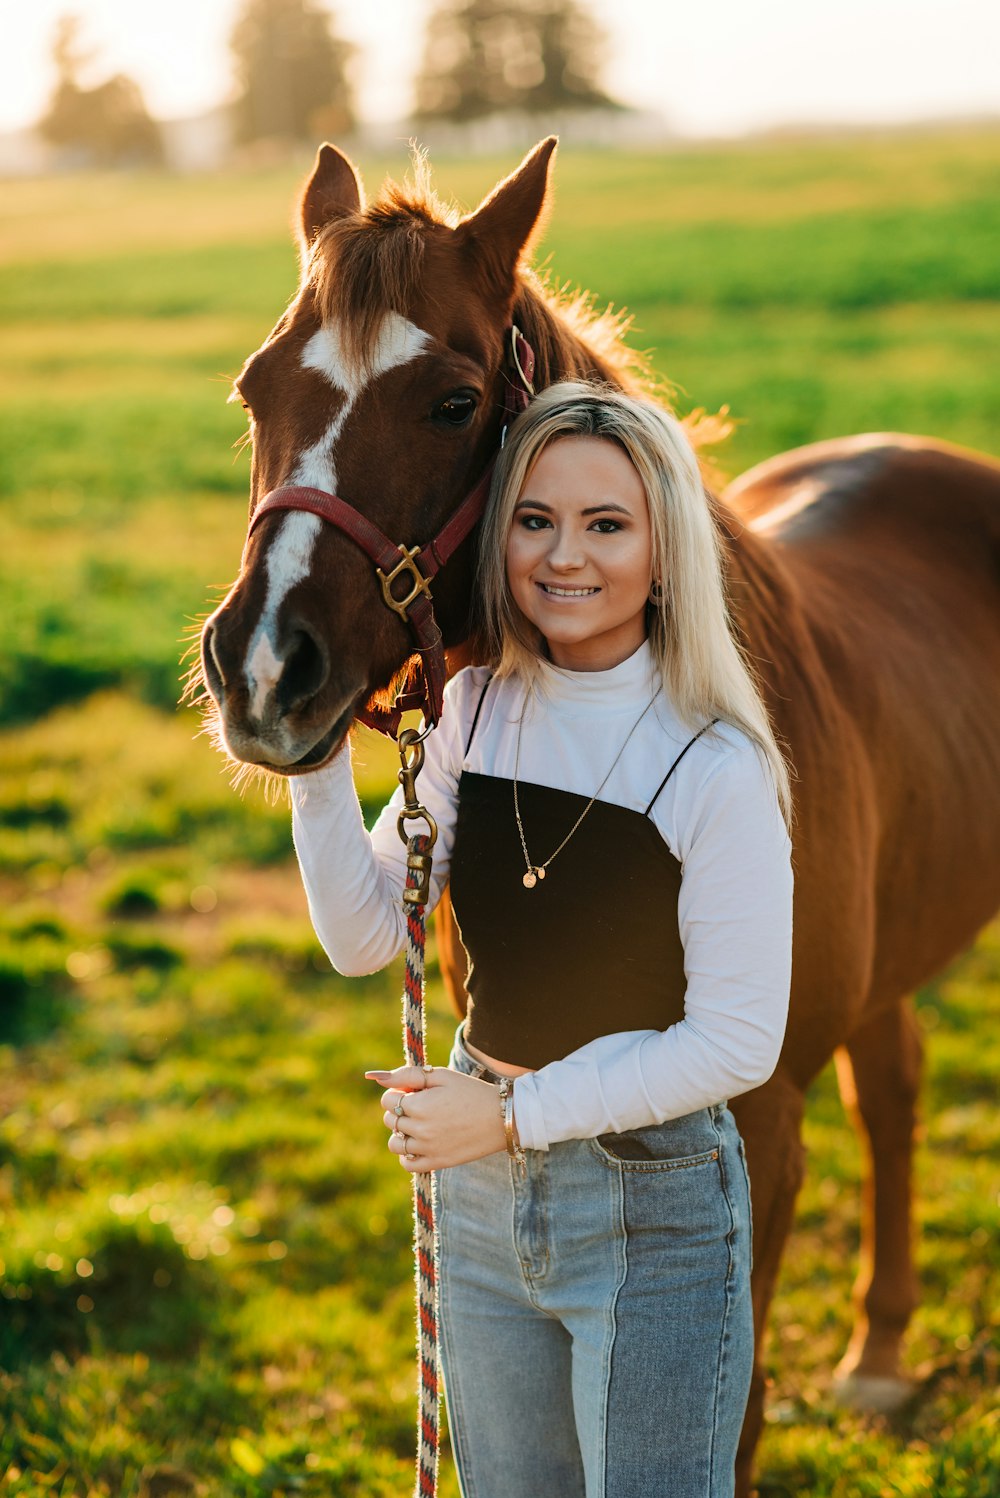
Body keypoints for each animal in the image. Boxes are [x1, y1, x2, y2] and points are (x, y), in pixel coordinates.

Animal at [197, 137, 999, 1486]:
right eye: (258, 390)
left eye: (453, 401)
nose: (261, 669)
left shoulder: (758, 1130)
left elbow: (736, 1415)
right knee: (890, 1080)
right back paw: (881, 1348)